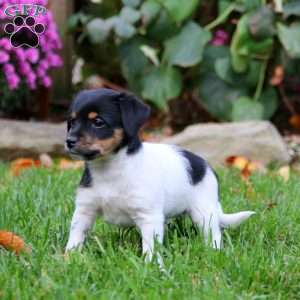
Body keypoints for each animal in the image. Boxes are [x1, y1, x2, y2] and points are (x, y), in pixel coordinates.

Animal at [65, 87, 255, 260]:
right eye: (72, 122)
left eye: (98, 122)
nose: (69, 141)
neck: (109, 168)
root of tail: (205, 166)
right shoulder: (84, 210)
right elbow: (75, 237)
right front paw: (69, 258)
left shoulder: (149, 217)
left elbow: (150, 247)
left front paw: (150, 266)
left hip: (204, 212)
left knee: (213, 234)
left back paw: (214, 252)